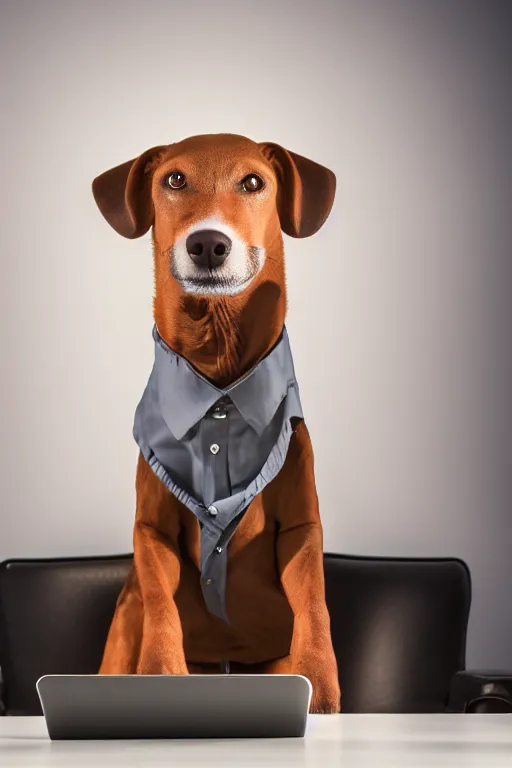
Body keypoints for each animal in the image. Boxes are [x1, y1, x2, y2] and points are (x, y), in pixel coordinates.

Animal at [93, 134, 340, 712]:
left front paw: (319, 681)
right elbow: (160, 600)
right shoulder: (152, 527)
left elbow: (313, 597)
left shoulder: (300, 524)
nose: (207, 244)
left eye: (253, 182)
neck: (220, 377)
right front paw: (162, 668)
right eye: (174, 179)